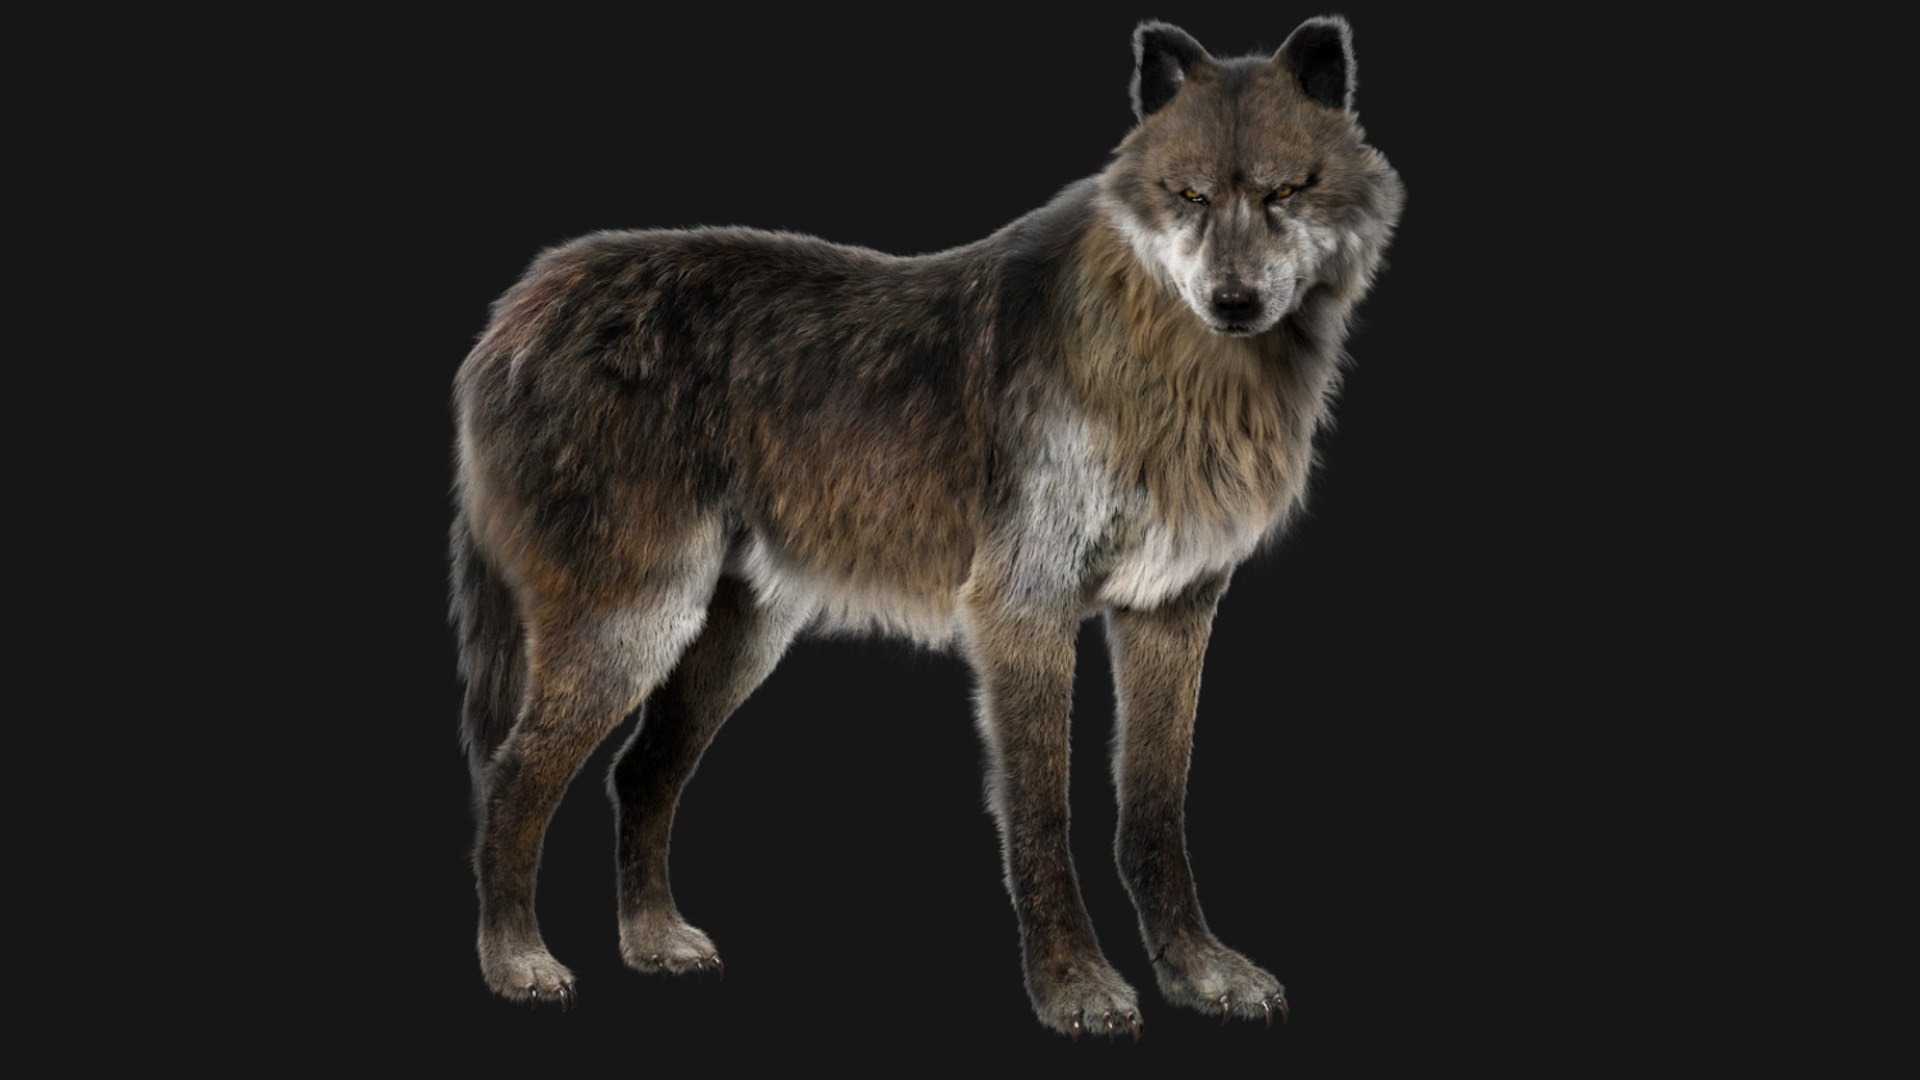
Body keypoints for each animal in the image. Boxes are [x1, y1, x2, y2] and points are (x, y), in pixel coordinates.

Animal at [449, 16, 1402, 1038]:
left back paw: (654, 941)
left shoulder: (1171, 609)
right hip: (632, 628)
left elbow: (1154, 808)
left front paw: (1197, 973)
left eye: (1285, 191)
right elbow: (1040, 815)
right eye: (1190, 196)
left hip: (732, 638)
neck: (1178, 369)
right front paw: (1073, 986)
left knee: (639, 772)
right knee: (510, 776)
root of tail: (517, 309)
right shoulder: (1021, 607)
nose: (1232, 302)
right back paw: (516, 962)